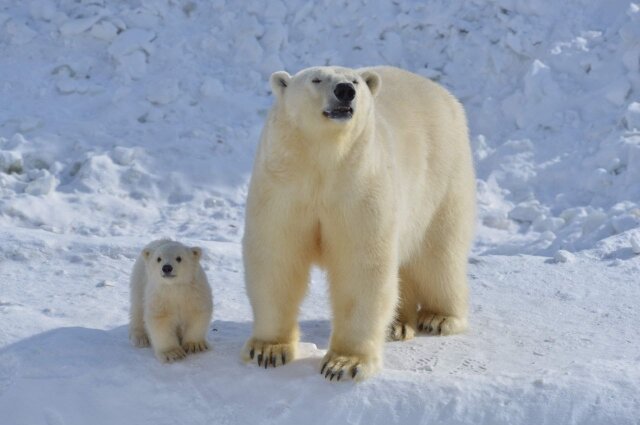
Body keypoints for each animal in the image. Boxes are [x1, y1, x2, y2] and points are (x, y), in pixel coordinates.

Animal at [240, 64, 476, 380]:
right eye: (316, 79)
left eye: (354, 81)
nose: (345, 91)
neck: (324, 159)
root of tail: (442, 92)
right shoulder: (284, 184)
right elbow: (277, 256)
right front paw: (268, 350)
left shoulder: (360, 185)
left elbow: (360, 266)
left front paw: (344, 364)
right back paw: (397, 324)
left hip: (443, 176)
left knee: (438, 254)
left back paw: (439, 317)